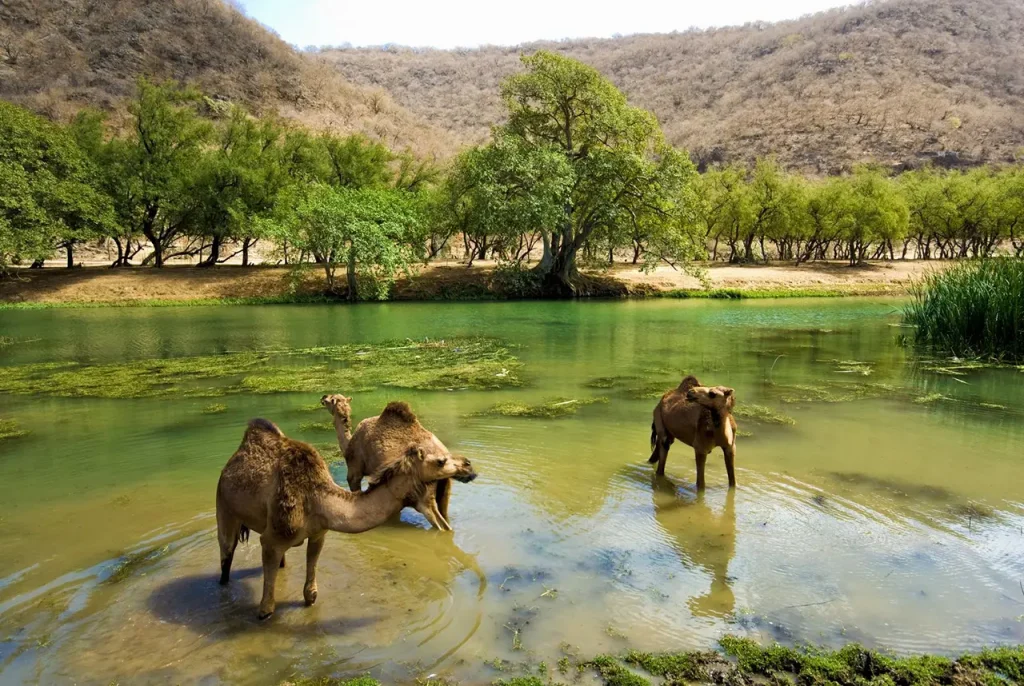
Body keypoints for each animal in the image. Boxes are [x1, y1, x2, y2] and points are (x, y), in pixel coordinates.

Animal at [217, 413, 479, 622]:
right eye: (441, 461)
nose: (468, 465)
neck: (317, 497)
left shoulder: (318, 533)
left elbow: (310, 594)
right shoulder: (272, 540)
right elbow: (267, 610)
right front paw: (264, 611)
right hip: (224, 507)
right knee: (226, 554)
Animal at [321, 395, 462, 536]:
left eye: (330, 399)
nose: (323, 397)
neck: (349, 444)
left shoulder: (354, 470)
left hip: (425, 497)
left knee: (438, 523)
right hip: (445, 489)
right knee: (445, 515)